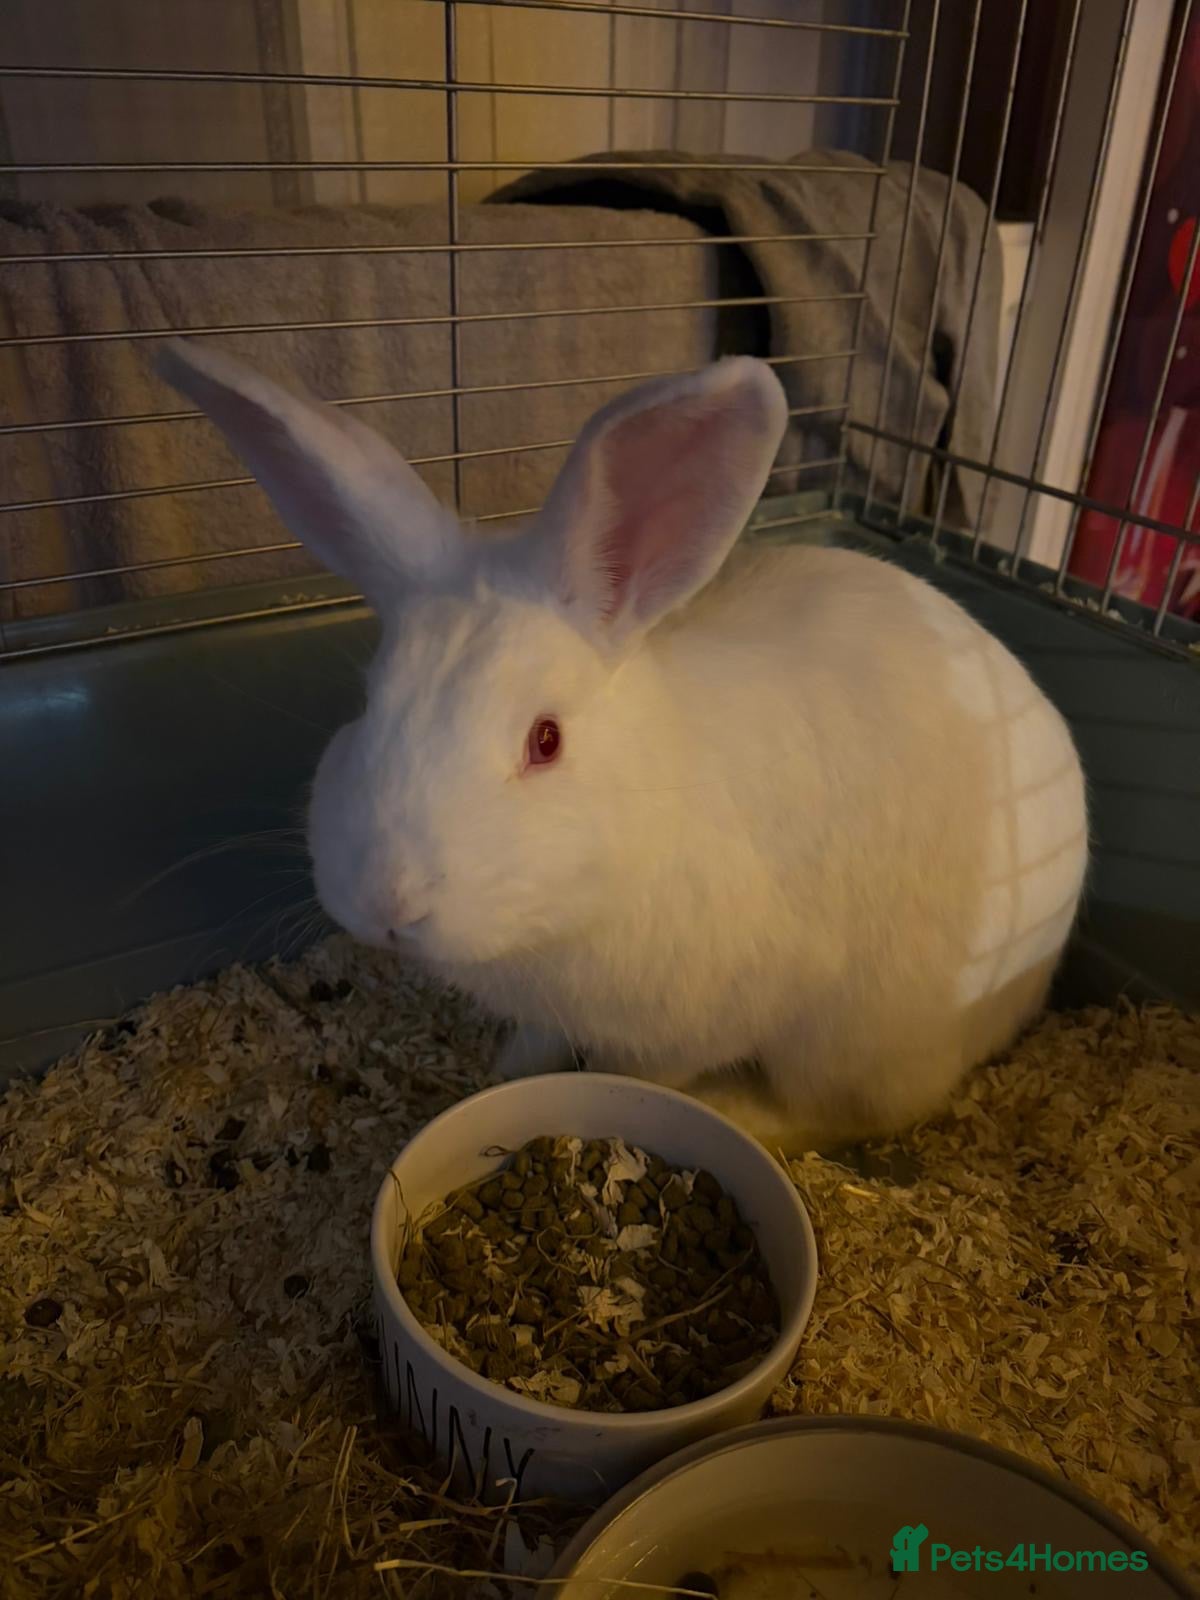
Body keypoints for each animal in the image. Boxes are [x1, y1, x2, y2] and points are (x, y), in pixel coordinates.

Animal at [157, 341, 1089, 1154]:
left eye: (546, 740)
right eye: (368, 703)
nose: (389, 904)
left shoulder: (689, 1024)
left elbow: (644, 1078)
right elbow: (537, 1039)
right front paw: (505, 1073)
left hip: (863, 1041)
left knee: (842, 1112)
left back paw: (744, 1114)